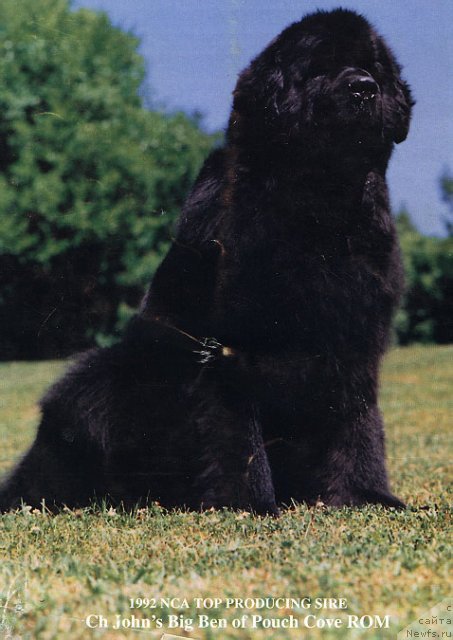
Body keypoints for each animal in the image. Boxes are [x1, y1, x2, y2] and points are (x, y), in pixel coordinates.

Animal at [0, 7, 412, 512]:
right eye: (319, 69)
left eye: (373, 69)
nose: (363, 88)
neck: (321, 209)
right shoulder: (224, 353)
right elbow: (238, 440)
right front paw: (252, 505)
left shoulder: (354, 341)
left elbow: (359, 423)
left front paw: (366, 495)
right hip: (92, 383)